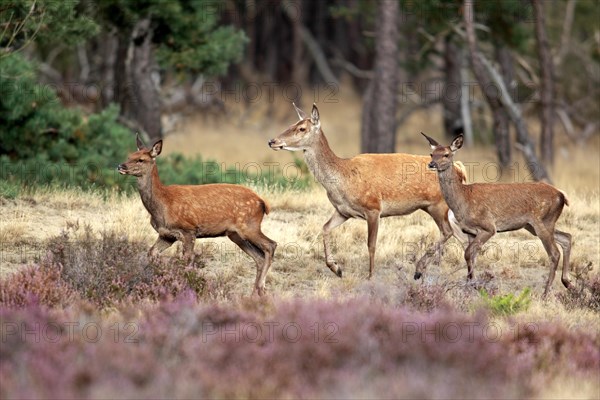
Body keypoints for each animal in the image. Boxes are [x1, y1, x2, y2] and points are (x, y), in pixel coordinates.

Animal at [118, 133, 278, 296]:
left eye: (140, 159)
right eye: (129, 155)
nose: (121, 166)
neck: (163, 205)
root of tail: (262, 202)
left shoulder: (188, 229)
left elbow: (186, 261)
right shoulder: (166, 235)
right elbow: (151, 253)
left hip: (248, 226)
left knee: (271, 245)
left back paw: (261, 288)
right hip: (235, 234)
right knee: (259, 256)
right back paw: (255, 293)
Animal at [268, 103, 468, 278]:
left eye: (302, 128)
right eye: (291, 124)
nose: (272, 141)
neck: (343, 179)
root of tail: (459, 169)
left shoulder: (373, 208)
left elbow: (371, 244)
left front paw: (370, 276)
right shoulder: (343, 211)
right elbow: (324, 228)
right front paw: (336, 269)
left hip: (438, 205)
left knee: (448, 232)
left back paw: (421, 270)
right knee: (461, 236)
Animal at [422, 133, 572, 296]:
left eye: (446, 154)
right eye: (432, 153)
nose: (432, 164)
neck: (463, 199)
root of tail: (562, 196)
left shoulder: (488, 227)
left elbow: (467, 253)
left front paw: (475, 286)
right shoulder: (470, 232)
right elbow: (471, 257)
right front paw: (470, 286)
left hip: (542, 221)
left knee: (554, 253)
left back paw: (545, 293)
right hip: (534, 225)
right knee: (567, 237)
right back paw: (567, 282)